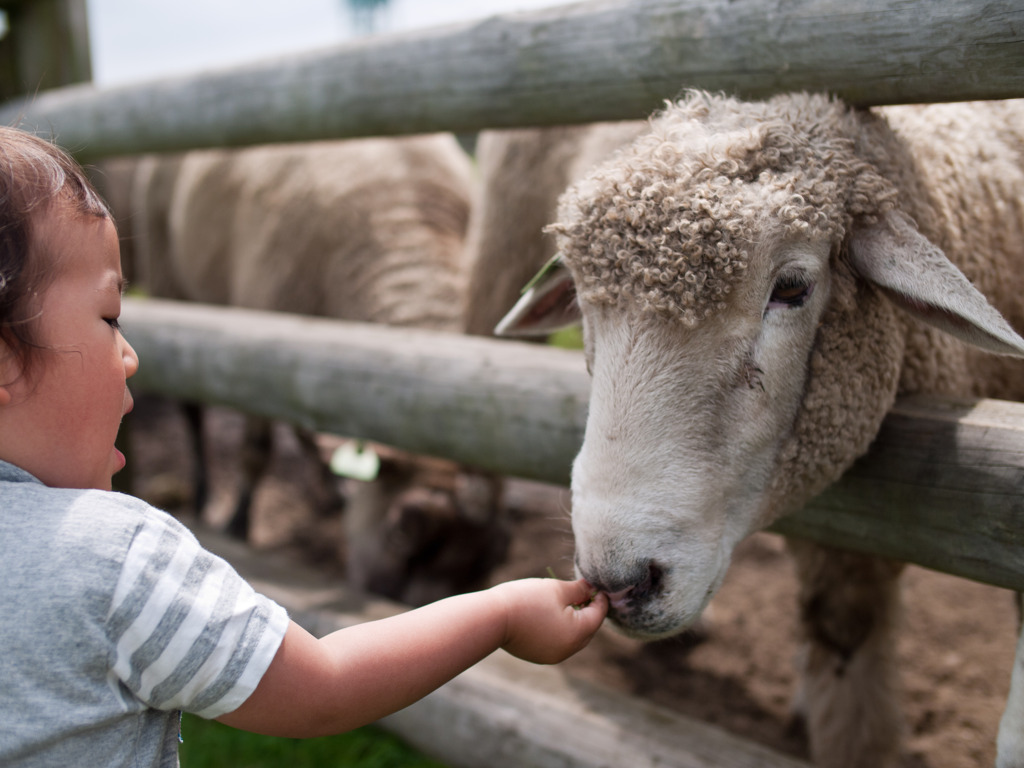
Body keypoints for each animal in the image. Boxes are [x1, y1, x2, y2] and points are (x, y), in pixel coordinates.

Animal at [126, 134, 511, 602]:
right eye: (403, 529)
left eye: (492, 558)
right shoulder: (255, 353)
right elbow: (255, 450)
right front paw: (238, 524)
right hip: (171, 277)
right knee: (192, 409)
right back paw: (203, 495)